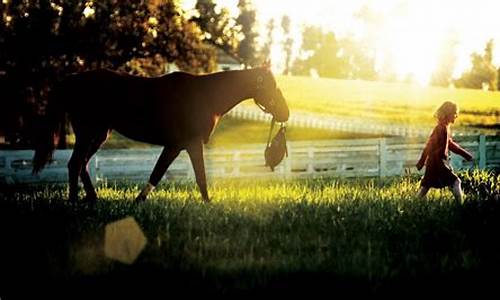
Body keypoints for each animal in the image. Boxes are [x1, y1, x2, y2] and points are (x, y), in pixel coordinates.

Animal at [31, 66, 290, 203]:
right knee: (75, 163)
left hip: (99, 135)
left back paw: (92, 198)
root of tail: (71, 80)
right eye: (272, 87)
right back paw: (75, 200)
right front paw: (208, 203)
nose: (285, 113)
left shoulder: (177, 146)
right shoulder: (187, 144)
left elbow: (160, 173)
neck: (205, 96)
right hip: (88, 133)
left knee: (82, 163)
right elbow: (195, 175)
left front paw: (138, 201)